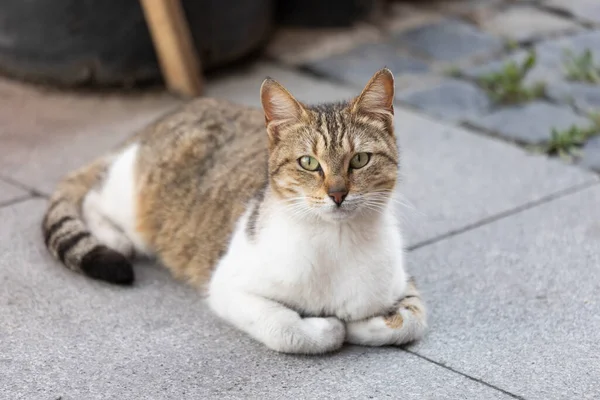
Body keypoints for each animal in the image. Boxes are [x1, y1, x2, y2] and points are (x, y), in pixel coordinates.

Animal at [42, 68, 426, 354]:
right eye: (308, 162)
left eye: (360, 160)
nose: (337, 194)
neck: (335, 243)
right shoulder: (228, 286)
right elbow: (286, 328)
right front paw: (331, 327)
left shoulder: (401, 282)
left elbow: (411, 321)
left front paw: (364, 324)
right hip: (131, 198)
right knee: (92, 196)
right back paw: (114, 238)